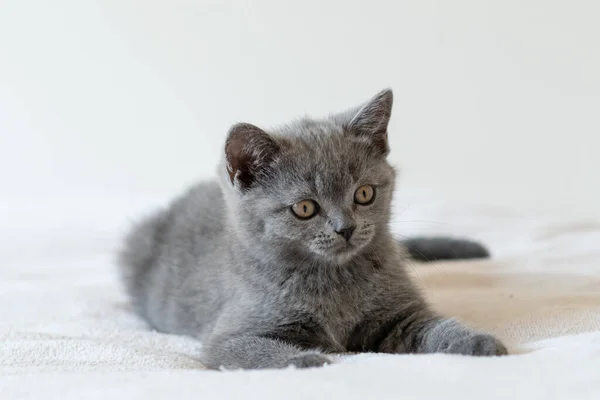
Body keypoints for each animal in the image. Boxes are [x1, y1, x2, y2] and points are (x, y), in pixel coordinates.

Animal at [117, 89, 506, 370]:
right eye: (304, 208)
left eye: (364, 194)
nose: (346, 228)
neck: (335, 277)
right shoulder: (227, 336)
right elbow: (251, 350)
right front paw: (306, 360)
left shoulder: (399, 316)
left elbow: (434, 326)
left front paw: (477, 341)